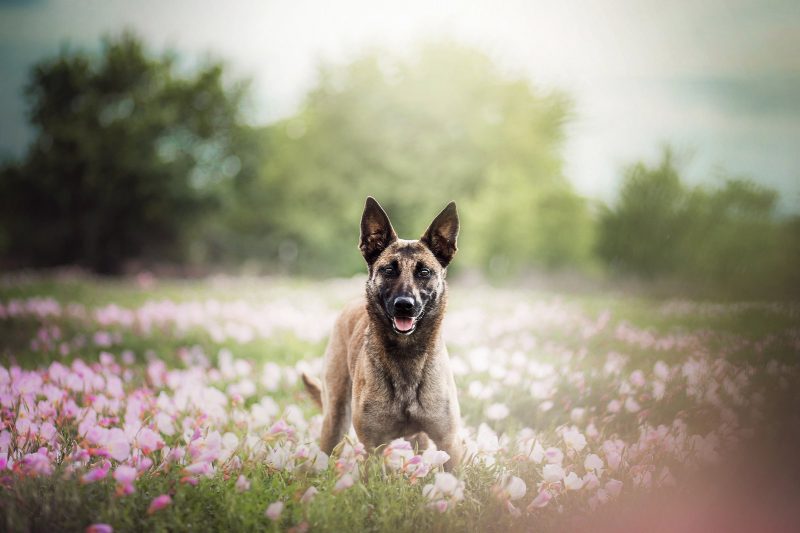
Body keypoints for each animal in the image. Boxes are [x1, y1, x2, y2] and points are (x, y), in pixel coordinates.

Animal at [304, 197, 466, 468]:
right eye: (389, 270)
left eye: (424, 272)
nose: (404, 305)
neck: (406, 356)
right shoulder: (373, 447)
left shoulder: (449, 443)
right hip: (335, 419)